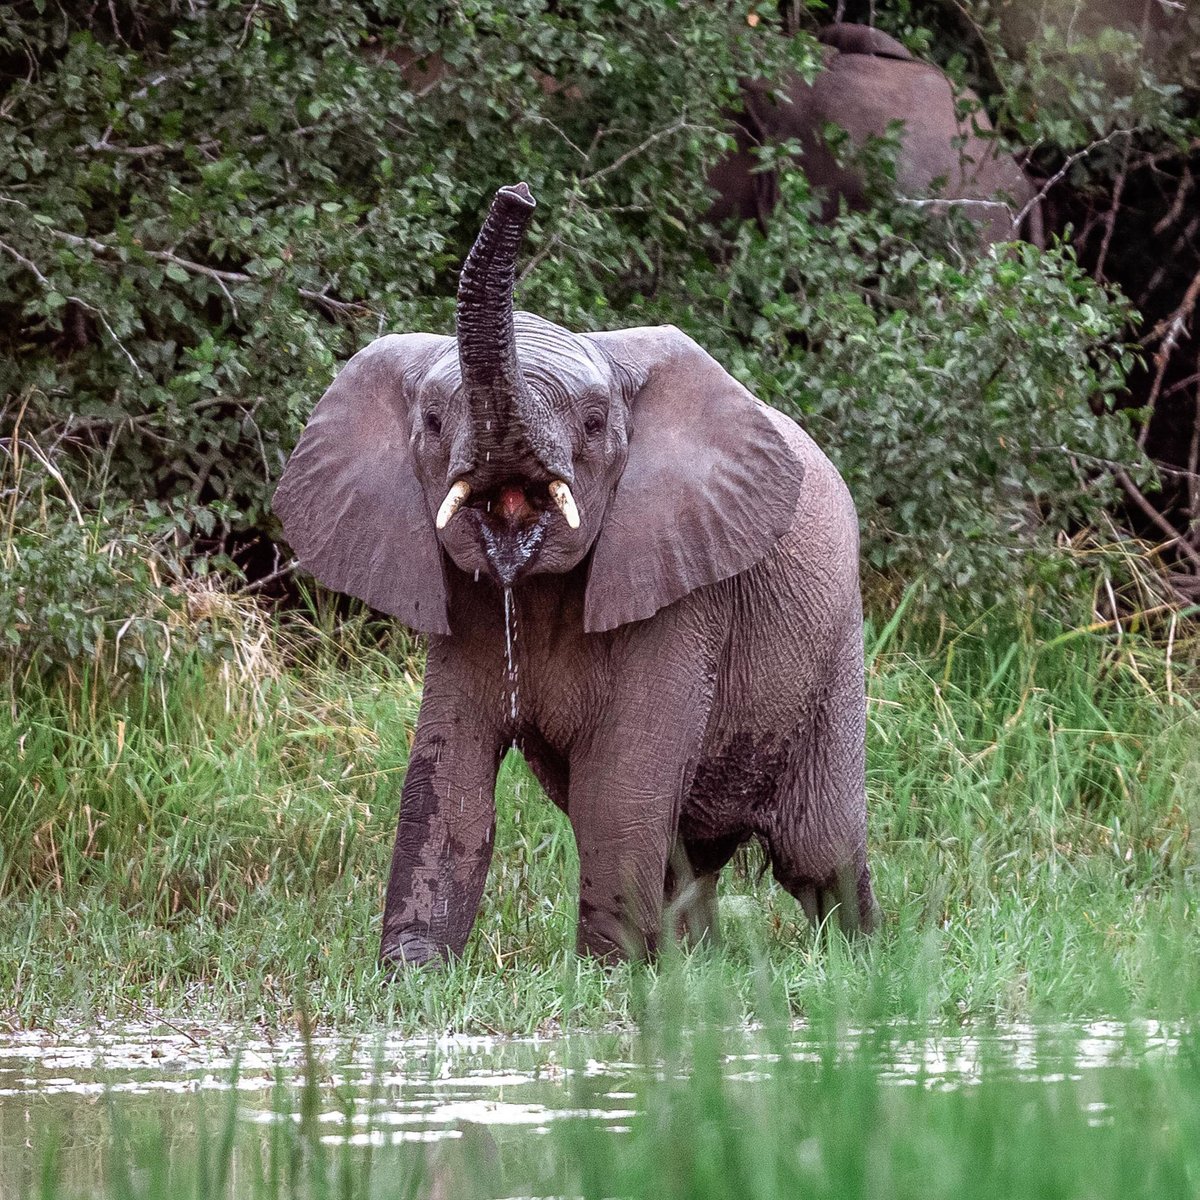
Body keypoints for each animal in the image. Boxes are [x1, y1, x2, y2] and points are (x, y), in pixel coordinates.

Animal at [274, 183, 877, 965]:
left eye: (593, 424)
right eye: (432, 423)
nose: (518, 192)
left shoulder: (686, 590)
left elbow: (620, 785)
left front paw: (607, 973)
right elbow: (446, 772)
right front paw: (412, 972)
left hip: (833, 648)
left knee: (817, 851)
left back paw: (870, 961)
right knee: (689, 856)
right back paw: (699, 965)